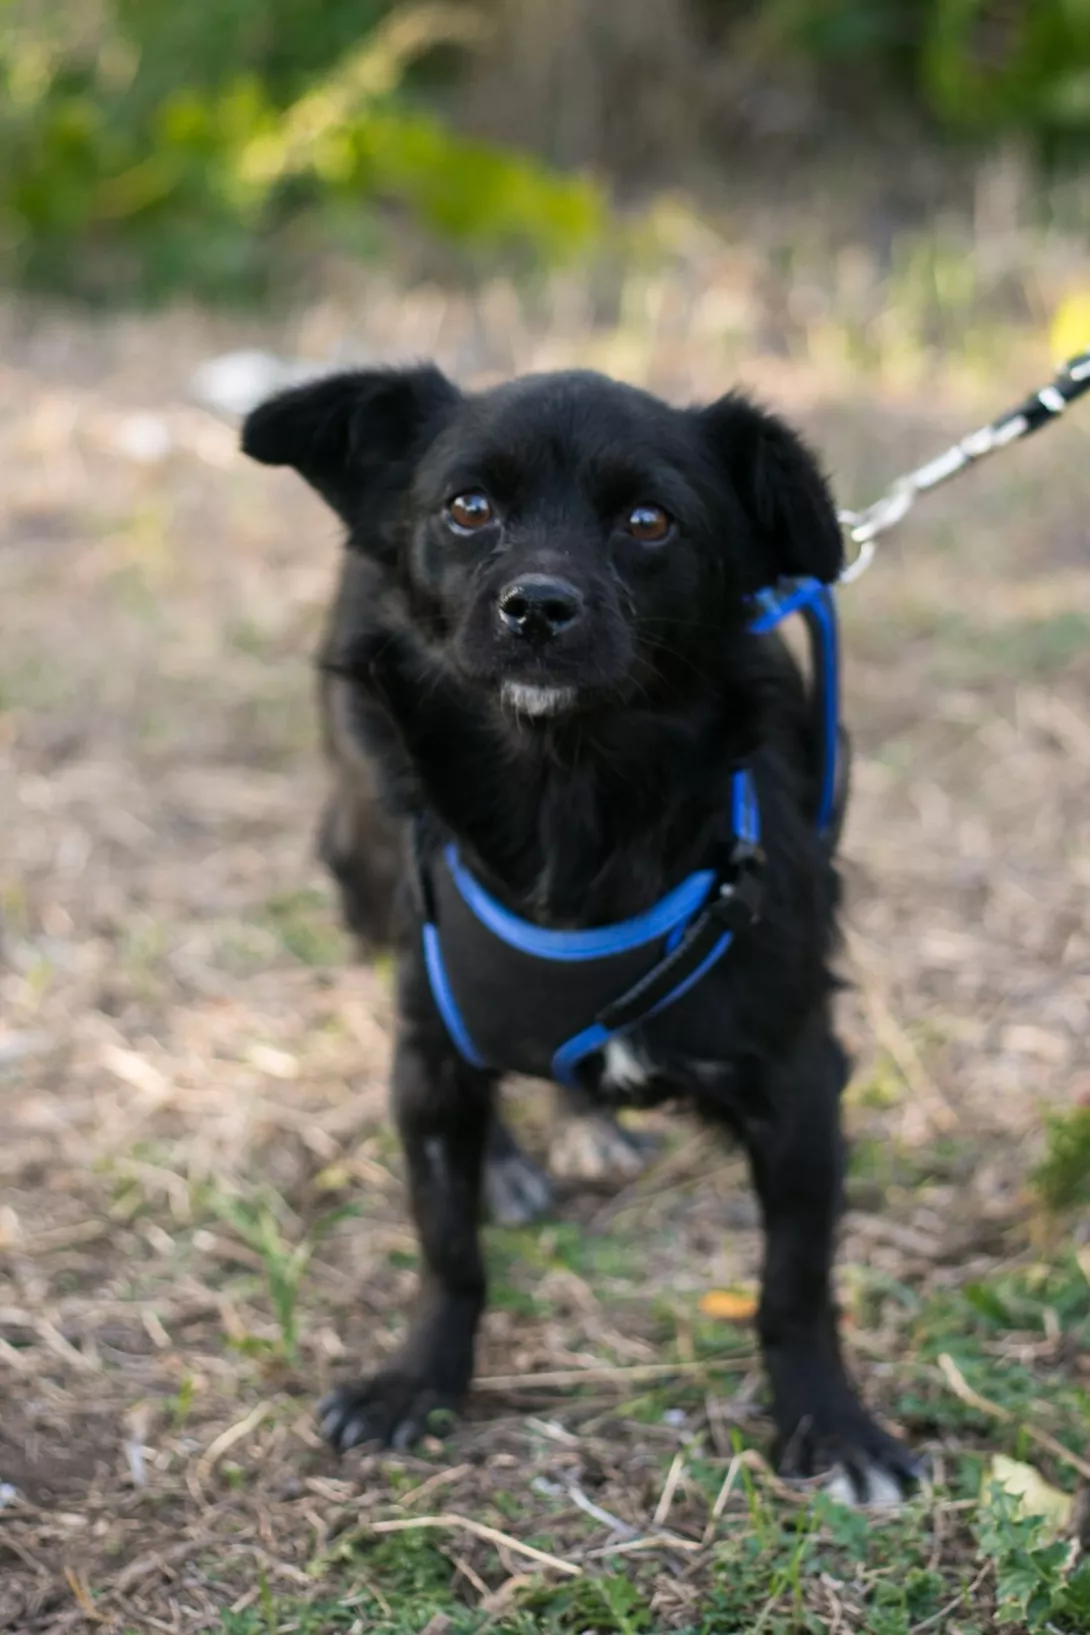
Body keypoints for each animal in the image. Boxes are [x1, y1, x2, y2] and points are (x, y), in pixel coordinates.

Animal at [241, 364, 921, 1500]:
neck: (568, 793)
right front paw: (417, 1381)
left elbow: (794, 1281)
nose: (538, 607)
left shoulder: (799, 1081)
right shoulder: (427, 1055)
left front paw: (832, 1424)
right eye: (469, 506)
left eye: (649, 521)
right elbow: (446, 1248)